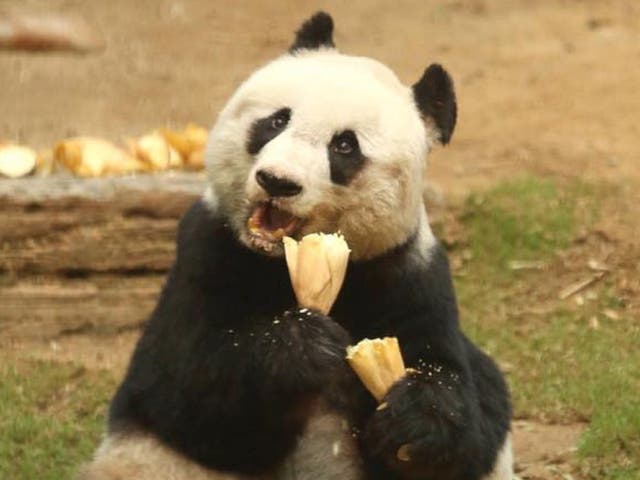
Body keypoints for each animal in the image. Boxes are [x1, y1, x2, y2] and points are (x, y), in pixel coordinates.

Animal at [79, 11, 510, 480]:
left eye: (345, 145)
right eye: (276, 121)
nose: (277, 181)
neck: (281, 260)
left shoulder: (406, 274)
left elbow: (465, 405)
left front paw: (415, 419)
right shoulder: (208, 251)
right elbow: (179, 393)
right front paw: (303, 347)